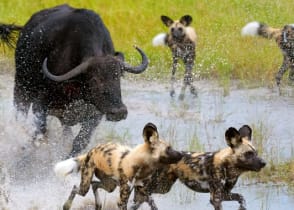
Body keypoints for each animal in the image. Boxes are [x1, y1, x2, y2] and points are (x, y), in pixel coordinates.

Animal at [0, 4, 147, 157]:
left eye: (118, 76)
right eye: (94, 80)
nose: (118, 112)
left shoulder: (96, 114)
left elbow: (79, 141)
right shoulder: (40, 104)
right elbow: (40, 133)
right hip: (21, 86)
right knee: (20, 115)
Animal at [52, 123, 181, 210]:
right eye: (168, 148)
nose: (182, 154)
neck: (141, 165)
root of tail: (91, 151)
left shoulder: (142, 193)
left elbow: (152, 204)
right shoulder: (123, 200)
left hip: (110, 186)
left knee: (95, 185)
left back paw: (98, 205)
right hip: (85, 186)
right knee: (77, 188)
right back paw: (66, 206)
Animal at [131, 125, 266, 209]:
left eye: (256, 152)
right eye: (248, 153)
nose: (264, 163)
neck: (228, 166)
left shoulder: (225, 194)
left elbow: (242, 198)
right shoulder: (216, 198)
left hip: (163, 187)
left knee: (139, 197)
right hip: (159, 185)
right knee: (143, 192)